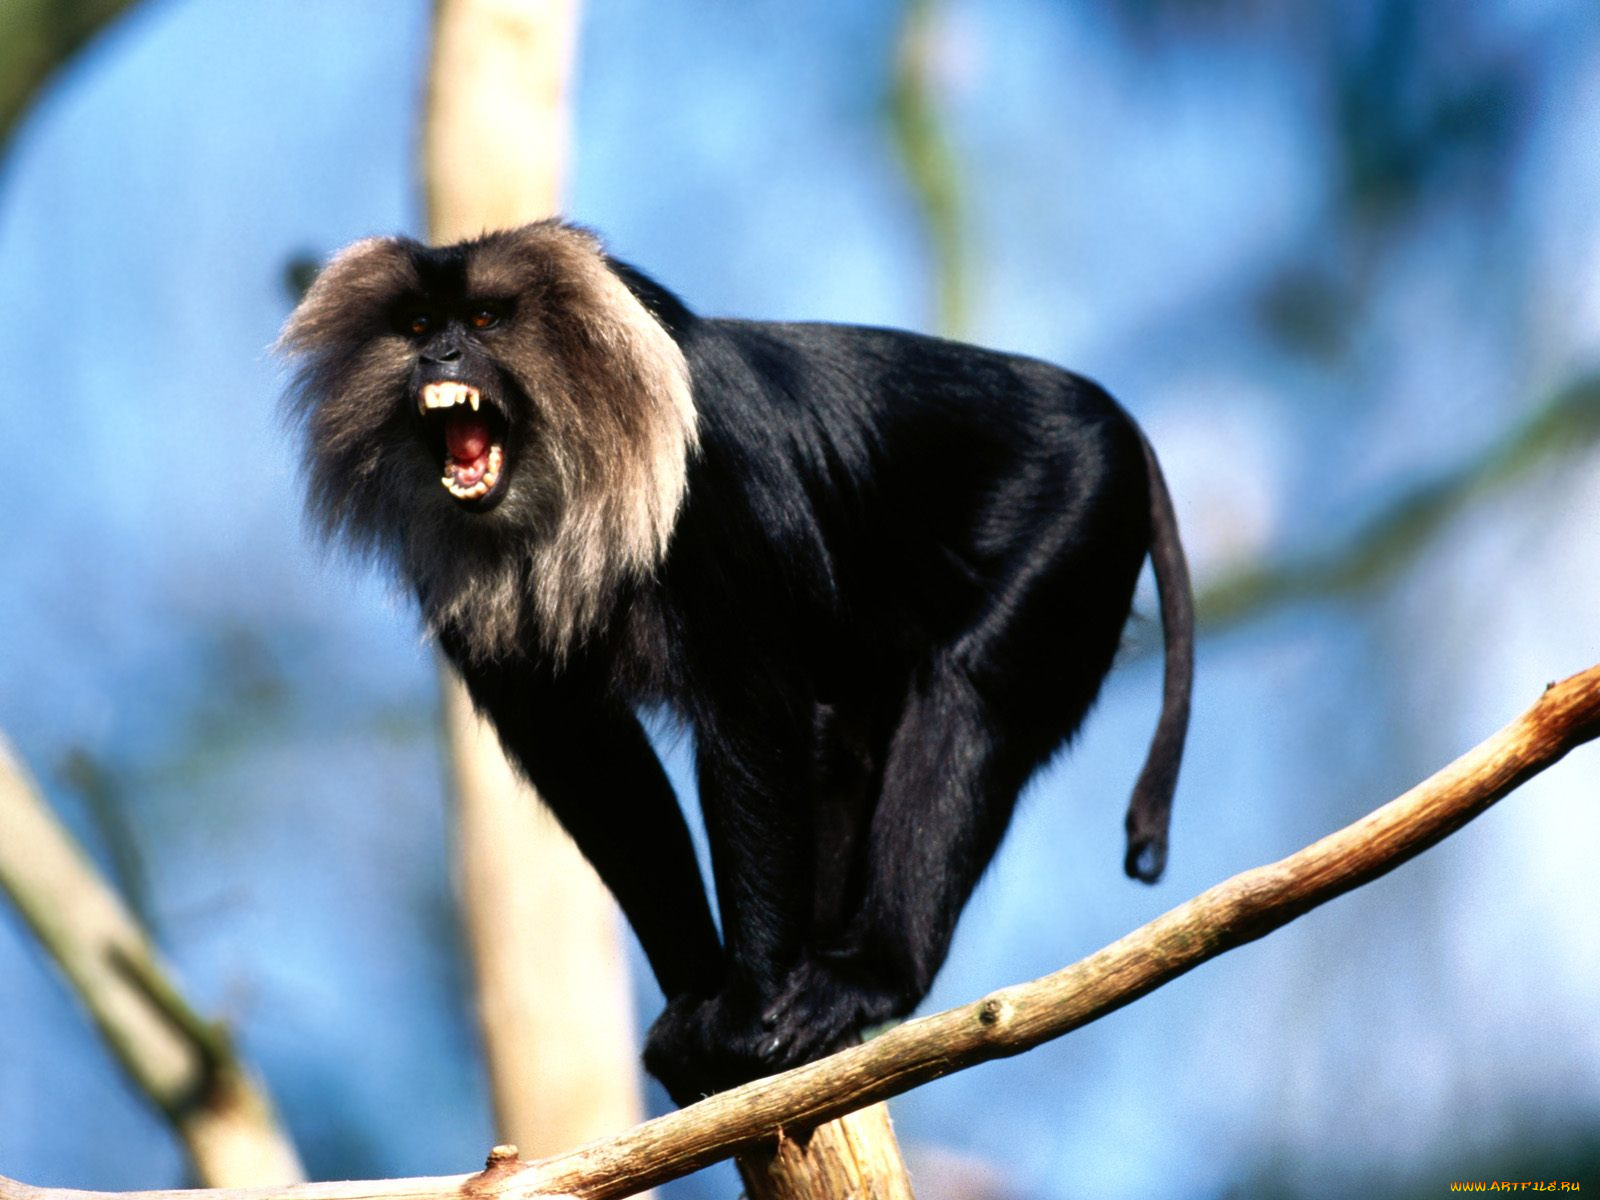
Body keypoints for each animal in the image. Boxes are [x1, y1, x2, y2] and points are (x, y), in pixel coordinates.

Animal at [278, 219, 1194, 1104]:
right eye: (418, 324)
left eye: (484, 320)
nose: (439, 357)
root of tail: (1113, 418)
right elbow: (594, 766)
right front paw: (695, 1008)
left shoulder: (718, 471)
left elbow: (753, 720)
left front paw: (749, 1015)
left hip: (1079, 509)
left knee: (970, 693)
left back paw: (870, 976)